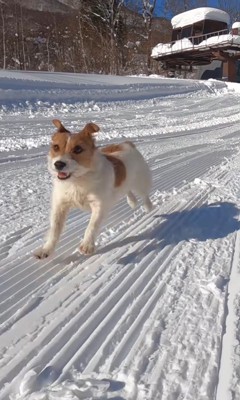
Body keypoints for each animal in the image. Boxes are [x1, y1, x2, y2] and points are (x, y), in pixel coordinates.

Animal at [34, 119, 153, 258]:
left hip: (140, 182)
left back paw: (148, 207)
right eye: (56, 147)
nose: (58, 164)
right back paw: (132, 201)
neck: (77, 180)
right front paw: (46, 250)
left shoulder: (99, 205)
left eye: (78, 149)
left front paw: (87, 245)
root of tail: (127, 144)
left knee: (144, 195)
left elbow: (92, 226)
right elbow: (55, 229)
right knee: (127, 189)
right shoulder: (60, 206)